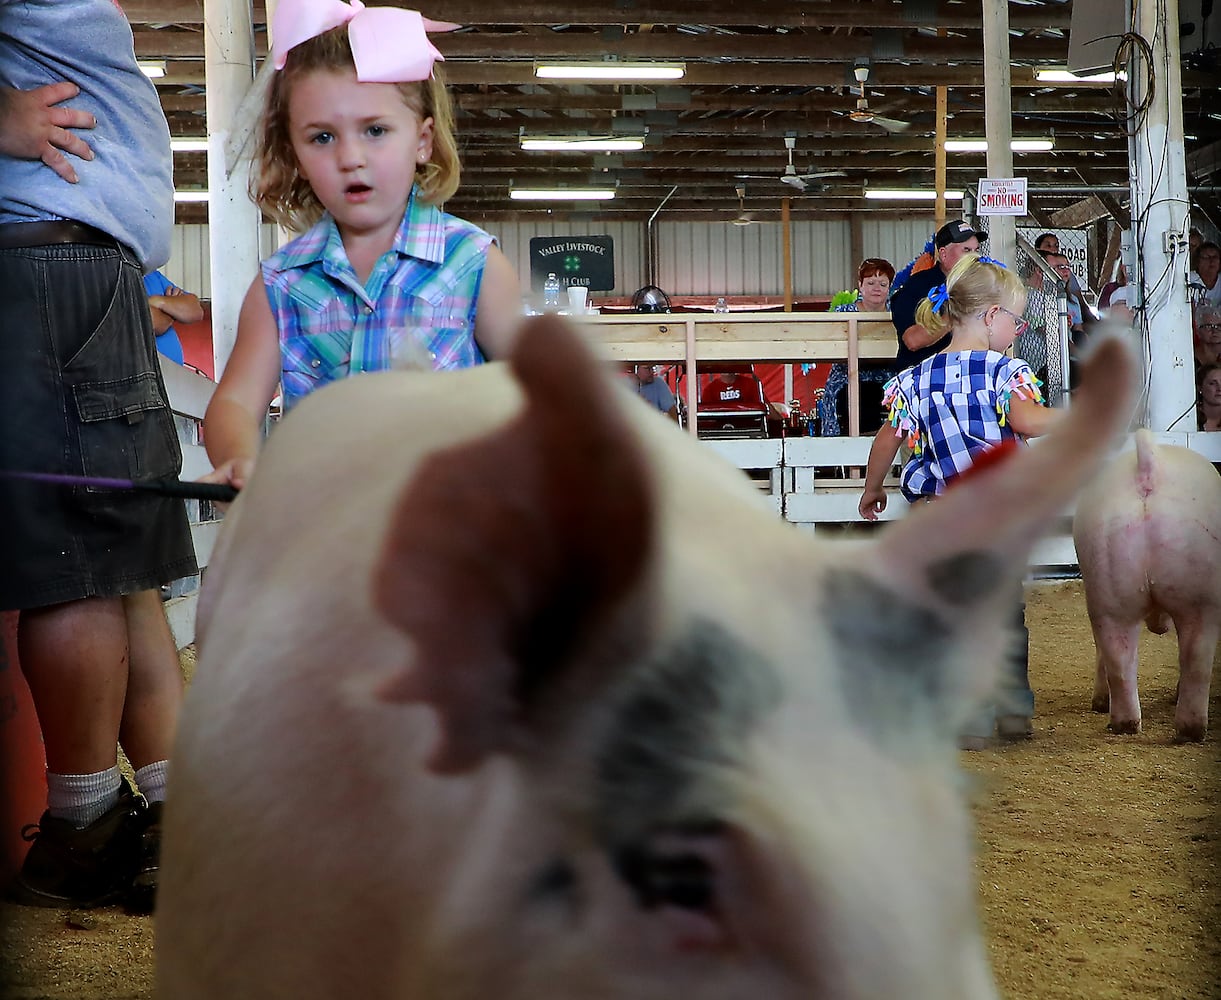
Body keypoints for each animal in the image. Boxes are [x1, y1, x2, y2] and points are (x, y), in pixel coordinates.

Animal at [1074, 429, 1216, 742]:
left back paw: (1126, 724)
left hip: (1107, 581)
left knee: (1119, 656)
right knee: (1196, 657)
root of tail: (1149, 466)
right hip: (1203, 595)